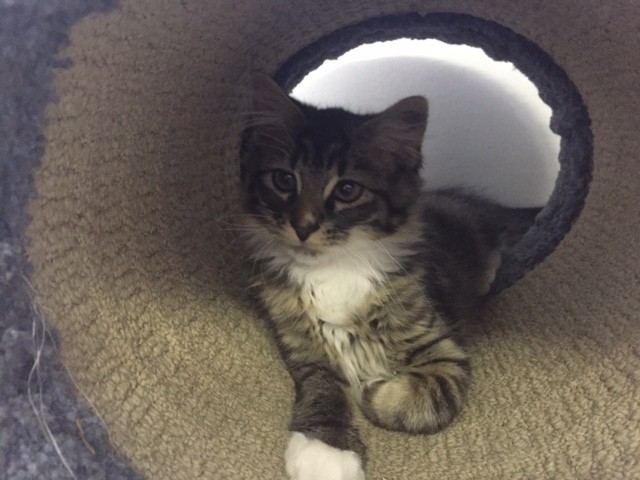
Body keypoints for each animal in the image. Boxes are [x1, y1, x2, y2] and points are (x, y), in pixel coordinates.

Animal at [239, 73, 539, 480]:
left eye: (348, 190)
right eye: (285, 180)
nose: (303, 227)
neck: (333, 268)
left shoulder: (443, 350)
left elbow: (423, 403)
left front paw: (374, 390)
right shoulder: (304, 348)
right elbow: (323, 390)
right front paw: (326, 452)